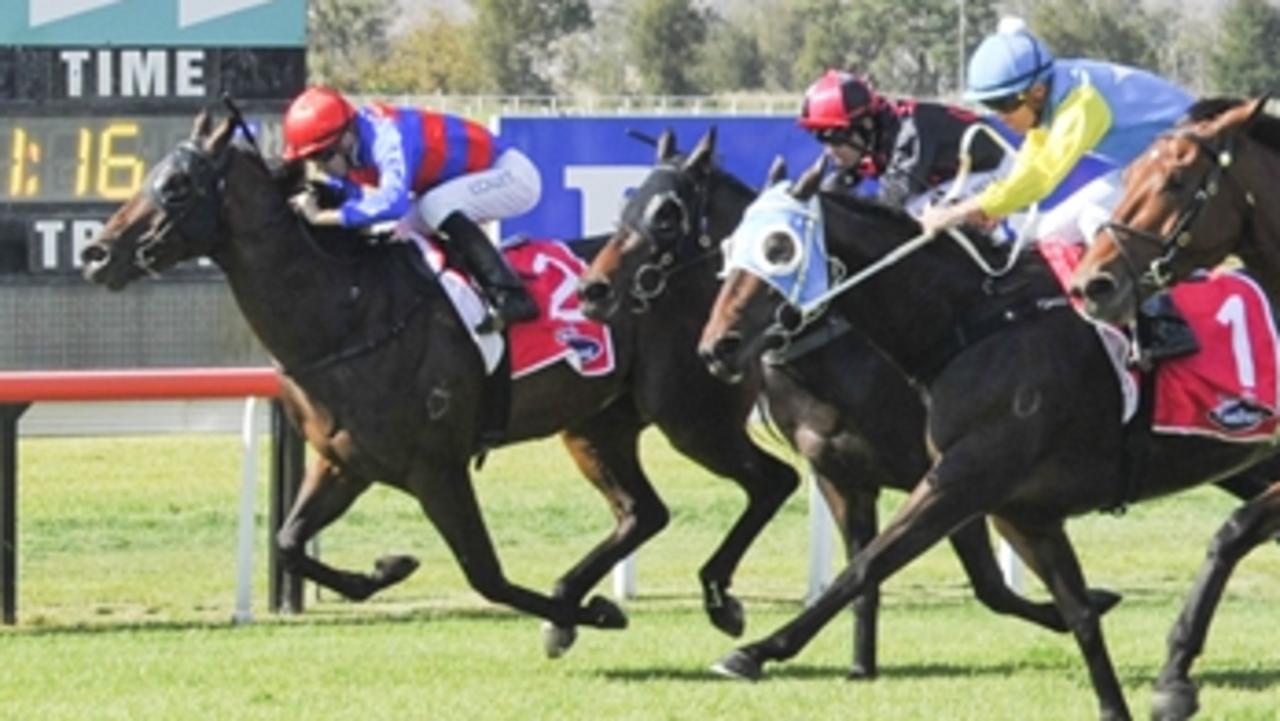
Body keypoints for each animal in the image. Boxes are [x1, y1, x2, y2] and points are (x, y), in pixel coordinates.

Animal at [80, 111, 798, 655]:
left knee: (772, 482)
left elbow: (487, 575)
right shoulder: (343, 462)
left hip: (692, 415)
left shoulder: (437, 467)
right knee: (644, 510)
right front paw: (385, 567)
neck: (345, 312)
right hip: (597, 425)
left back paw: (715, 598)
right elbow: (288, 543)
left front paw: (596, 614)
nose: (96, 252)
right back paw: (578, 593)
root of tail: (729, 269)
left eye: (176, 185)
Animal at [578, 126, 1121, 681]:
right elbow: (869, 572)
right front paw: (860, 665)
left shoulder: (954, 476)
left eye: (667, 215)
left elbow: (986, 585)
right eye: (628, 205)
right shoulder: (844, 477)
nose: (592, 289)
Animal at [696, 163, 1280, 721]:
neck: (971, 324)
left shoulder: (960, 480)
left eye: (778, 248)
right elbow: (1078, 614)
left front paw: (755, 651)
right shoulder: (1018, 510)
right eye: (728, 248)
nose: (717, 346)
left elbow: (866, 566)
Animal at [1070, 97, 1280, 721]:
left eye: (1176, 180)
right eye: (1130, 175)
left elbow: (1237, 527)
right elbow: (1234, 531)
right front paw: (1174, 675)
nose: (1090, 284)